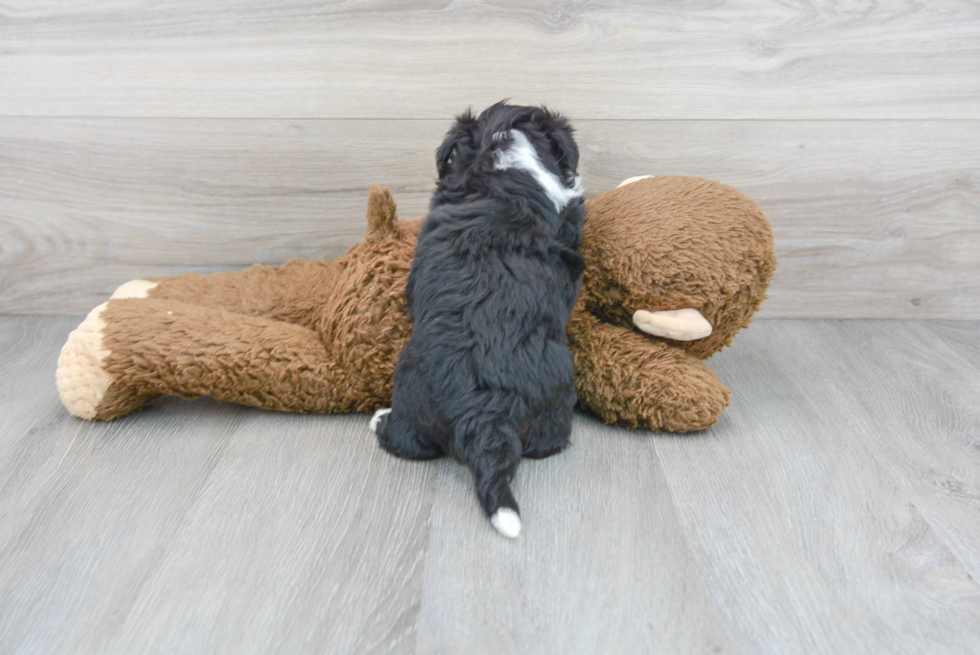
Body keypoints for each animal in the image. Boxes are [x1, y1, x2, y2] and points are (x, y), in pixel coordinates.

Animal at [368, 102, 580, 540]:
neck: (507, 161)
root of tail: (486, 412)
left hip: (411, 395)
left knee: (408, 444)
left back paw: (379, 420)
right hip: (556, 399)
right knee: (545, 445)